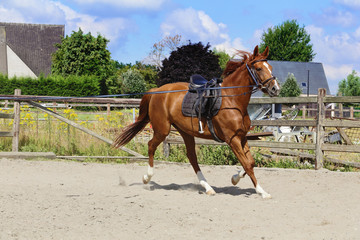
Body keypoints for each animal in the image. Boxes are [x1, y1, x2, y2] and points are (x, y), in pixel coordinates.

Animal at [114, 46, 280, 198]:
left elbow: (250, 163)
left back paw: (208, 188)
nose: (275, 89)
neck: (232, 100)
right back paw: (146, 178)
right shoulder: (232, 139)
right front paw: (261, 192)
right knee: (151, 146)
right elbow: (246, 164)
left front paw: (239, 181)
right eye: (258, 68)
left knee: (192, 157)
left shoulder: (242, 137)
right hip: (162, 130)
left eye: (271, 67)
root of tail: (156, 91)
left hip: (185, 132)